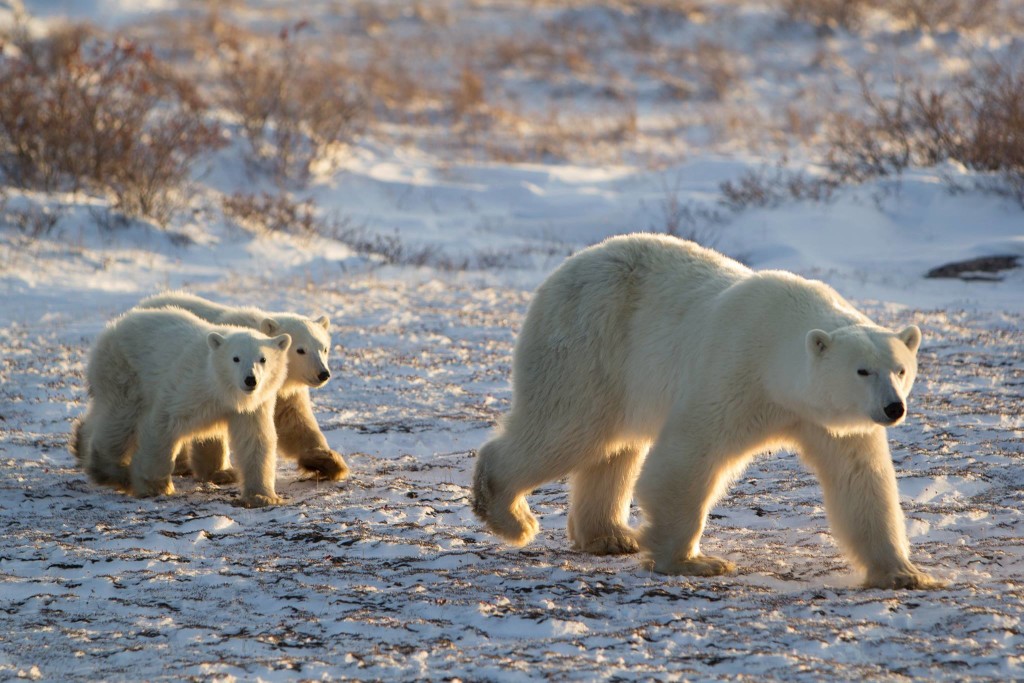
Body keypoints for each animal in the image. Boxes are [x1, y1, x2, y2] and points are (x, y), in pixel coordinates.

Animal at [136, 290, 348, 483]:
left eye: (324, 348)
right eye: (301, 350)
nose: (323, 374)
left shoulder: (279, 390)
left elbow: (293, 420)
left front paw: (328, 462)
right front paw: (220, 472)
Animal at [473, 233, 942, 589]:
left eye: (901, 369)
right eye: (862, 370)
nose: (893, 408)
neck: (776, 361)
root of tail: (564, 270)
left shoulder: (829, 421)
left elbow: (861, 481)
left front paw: (905, 573)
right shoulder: (734, 373)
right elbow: (687, 456)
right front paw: (692, 561)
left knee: (614, 446)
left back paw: (609, 536)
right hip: (590, 344)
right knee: (568, 428)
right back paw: (511, 516)